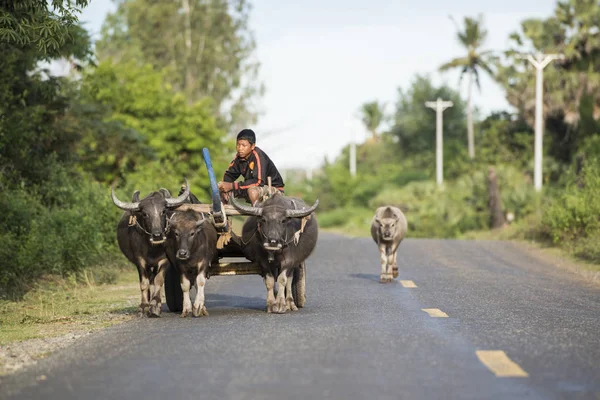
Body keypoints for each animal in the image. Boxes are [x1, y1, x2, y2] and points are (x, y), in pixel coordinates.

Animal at [111, 180, 189, 318]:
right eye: (144, 214)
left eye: (163, 211)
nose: (157, 235)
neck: (153, 249)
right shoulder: (139, 261)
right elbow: (143, 283)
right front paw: (143, 307)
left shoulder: (164, 260)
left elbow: (159, 281)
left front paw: (155, 305)